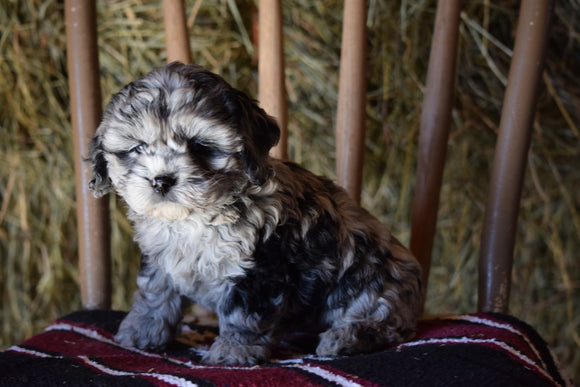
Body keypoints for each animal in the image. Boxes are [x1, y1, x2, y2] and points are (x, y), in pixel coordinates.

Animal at [90, 61, 424, 366]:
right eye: (137, 148)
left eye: (200, 146)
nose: (161, 181)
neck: (196, 217)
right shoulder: (160, 258)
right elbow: (155, 293)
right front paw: (140, 331)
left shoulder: (257, 269)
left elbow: (244, 314)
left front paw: (233, 351)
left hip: (370, 286)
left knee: (387, 323)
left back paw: (345, 338)